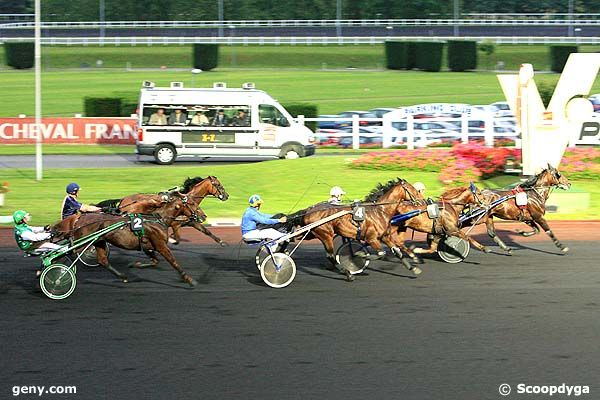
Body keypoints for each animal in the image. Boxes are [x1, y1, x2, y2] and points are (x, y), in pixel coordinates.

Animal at [52, 195, 202, 286]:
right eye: (192, 203)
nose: (203, 216)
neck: (158, 218)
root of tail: (79, 218)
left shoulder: (147, 245)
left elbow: (155, 261)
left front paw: (135, 264)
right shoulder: (160, 245)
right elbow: (173, 262)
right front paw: (189, 280)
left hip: (98, 241)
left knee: (103, 260)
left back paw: (123, 276)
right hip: (83, 242)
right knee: (67, 252)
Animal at [98, 177, 230, 245]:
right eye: (218, 185)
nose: (226, 196)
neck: (185, 200)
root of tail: (123, 200)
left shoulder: (191, 221)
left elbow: (206, 231)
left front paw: (222, 242)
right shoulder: (176, 224)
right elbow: (177, 239)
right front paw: (171, 239)